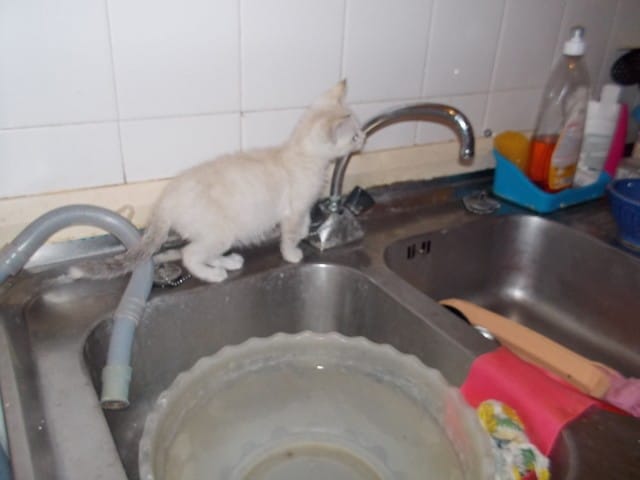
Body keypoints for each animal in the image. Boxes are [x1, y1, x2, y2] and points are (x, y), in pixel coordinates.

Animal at [69, 80, 365, 283]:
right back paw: (214, 274)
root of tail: (164, 201)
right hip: (220, 230)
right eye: (353, 136)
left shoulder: (302, 207)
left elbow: (303, 223)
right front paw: (292, 253)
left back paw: (227, 262)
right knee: (190, 255)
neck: (302, 156)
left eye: (360, 130)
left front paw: (306, 233)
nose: (363, 139)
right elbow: (290, 234)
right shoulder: (293, 209)